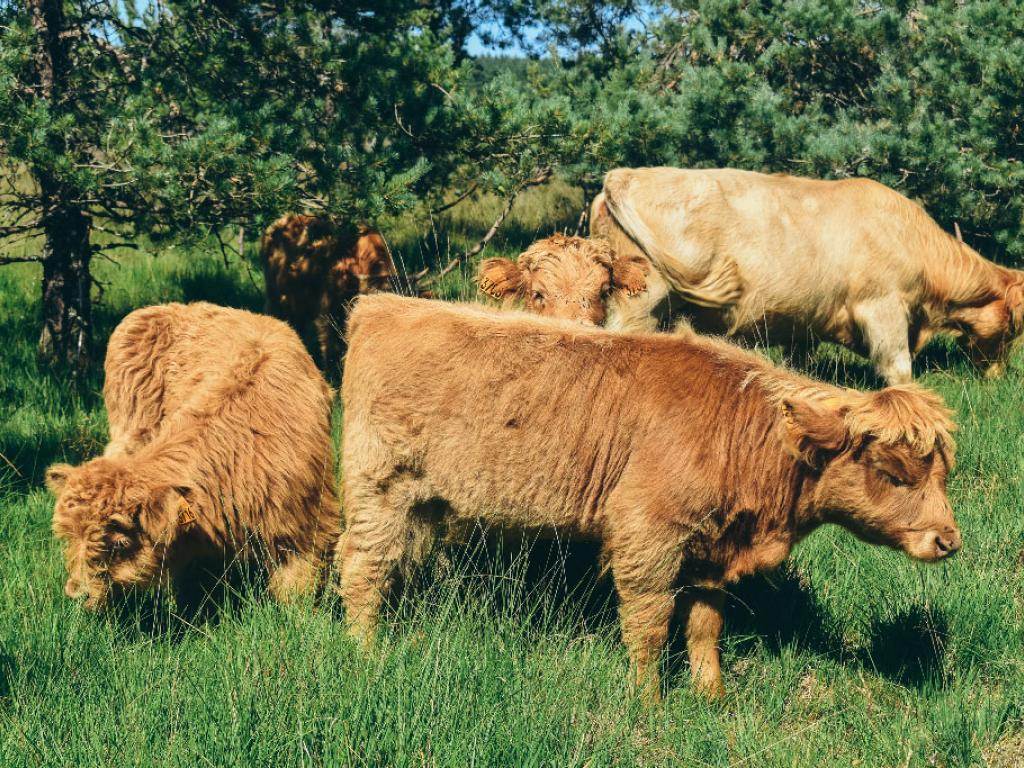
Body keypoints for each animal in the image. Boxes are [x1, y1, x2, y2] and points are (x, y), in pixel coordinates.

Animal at [598, 167, 1024, 385]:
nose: (999, 377)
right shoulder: (882, 307)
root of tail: (624, 174)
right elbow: (899, 369)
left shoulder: (801, 325)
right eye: (1013, 327)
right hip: (643, 300)